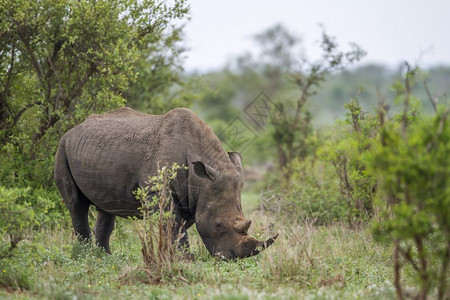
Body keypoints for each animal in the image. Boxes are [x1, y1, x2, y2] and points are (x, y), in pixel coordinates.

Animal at [54, 106, 276, 258]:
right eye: (219, 225)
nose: (230, 258)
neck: (201, 181)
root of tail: (73, 129)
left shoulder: (194, 197)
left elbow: (177, 226)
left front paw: (171, 255)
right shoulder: (158, 190)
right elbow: (175, 224)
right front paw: (186, 259)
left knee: (106, 208)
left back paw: (105, 257)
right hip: (63, 147)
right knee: (76, 203)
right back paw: (86, 256)